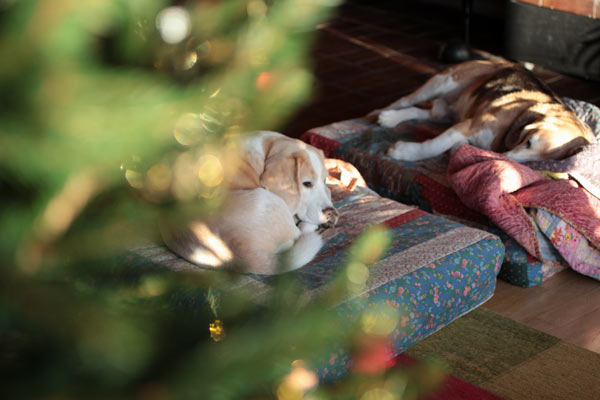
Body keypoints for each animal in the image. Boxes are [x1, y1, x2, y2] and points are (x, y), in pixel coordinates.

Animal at [159, 131, 338, 276]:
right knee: (299, 233)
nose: (331, 212)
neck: (267, 145)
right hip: (272, 201)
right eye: (307, 184)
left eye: (325, 180)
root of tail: (238, 252)